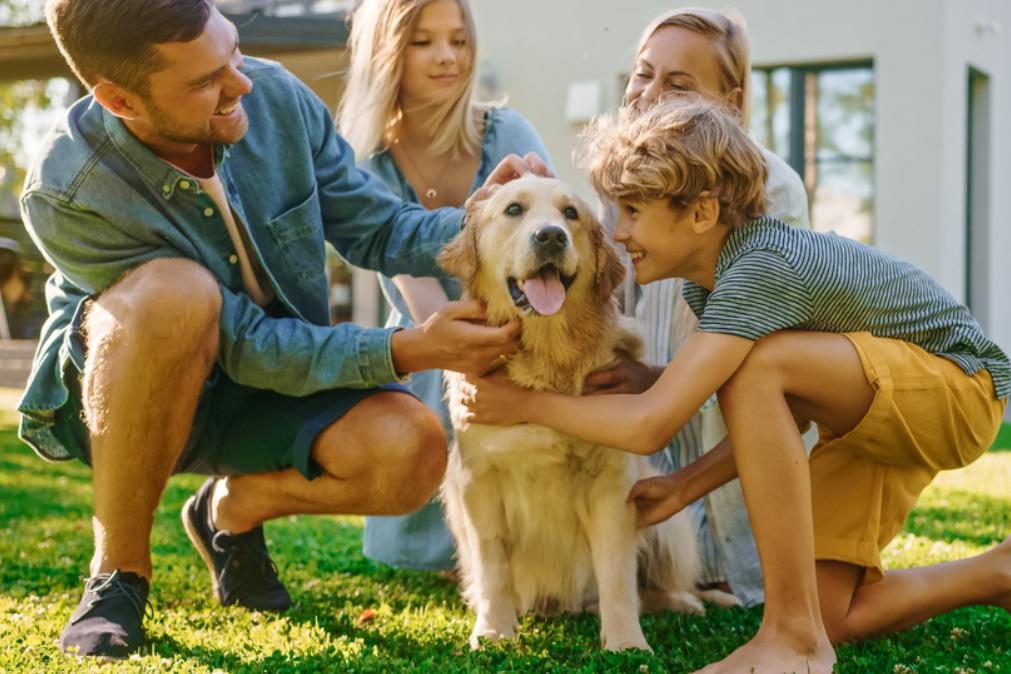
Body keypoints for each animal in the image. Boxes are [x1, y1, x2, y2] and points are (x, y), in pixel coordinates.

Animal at [434, 175, 736, 654]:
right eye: (514, 209)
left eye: (570, 214)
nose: (550, 236)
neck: (547, 355)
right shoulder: (477, 482)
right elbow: (493, 563)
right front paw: (494, 630)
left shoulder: (612, 485)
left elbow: (616, 571)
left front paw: (626, 642)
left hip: (671, 527)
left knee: (657, 586)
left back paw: (690, 602)